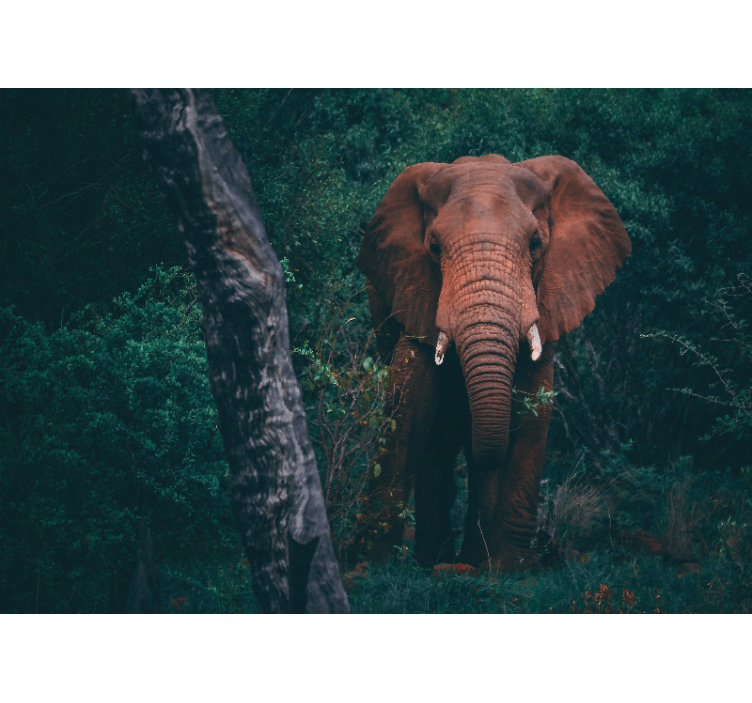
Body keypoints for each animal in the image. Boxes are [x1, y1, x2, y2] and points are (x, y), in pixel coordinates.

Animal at [355, 154, 631, 571]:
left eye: (535, 244)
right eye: (433, 246)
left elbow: (534, 404)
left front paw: (513, 568)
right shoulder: (413, 288)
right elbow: (410, 400)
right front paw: (370, 563)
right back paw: (437, 559)